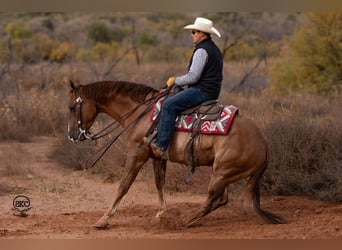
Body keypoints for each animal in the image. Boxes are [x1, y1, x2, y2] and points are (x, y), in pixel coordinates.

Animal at [68, 79, 284, 229]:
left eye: (71, 108)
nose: (72, 135)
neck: (142, 114)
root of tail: (264, 144)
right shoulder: (157, 157)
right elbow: (159, 183)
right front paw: (161, 214)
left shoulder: (137, 154)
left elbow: (123, 186)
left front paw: (103, 220)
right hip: (226, 174)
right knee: (221, 199)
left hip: (221, 173)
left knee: (212, 200)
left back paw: (185, 222)